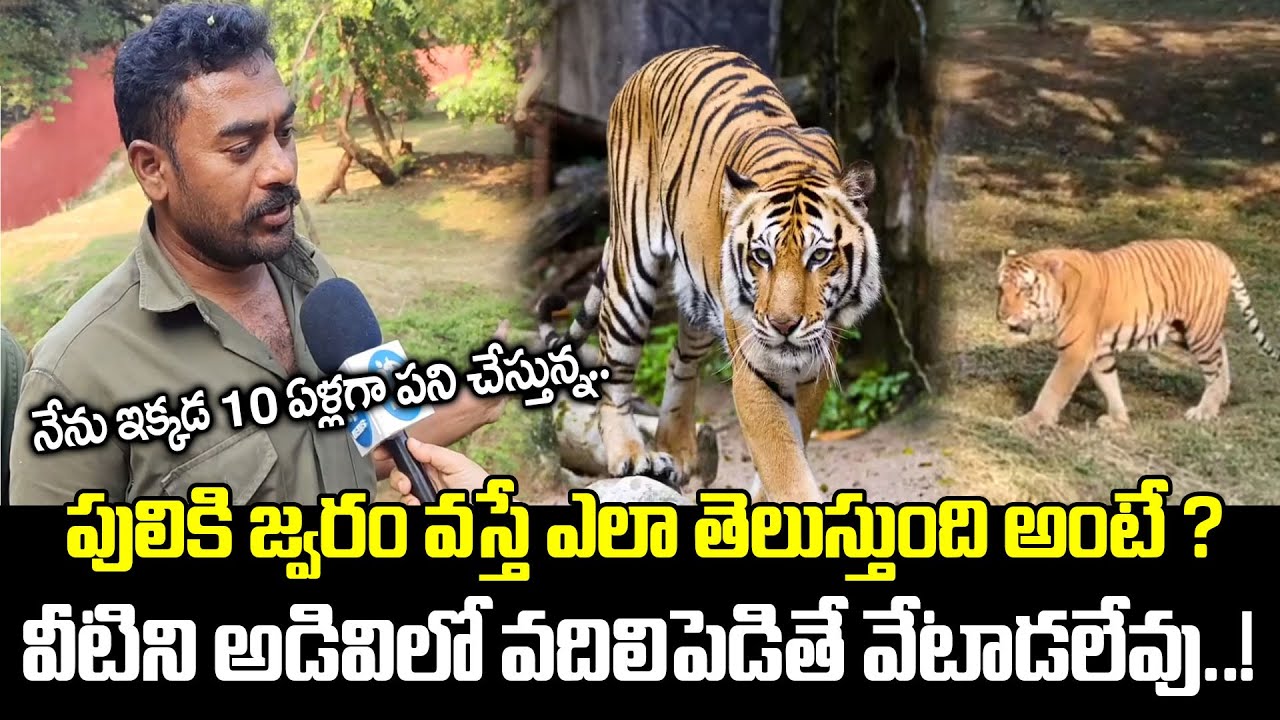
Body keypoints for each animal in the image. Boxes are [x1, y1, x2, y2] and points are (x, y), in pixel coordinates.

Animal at [537, 45, 883, 505]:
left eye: (820, 256)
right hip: (632, 270)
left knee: (678, 360)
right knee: (615, 377)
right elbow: (784, 462)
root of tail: (660, 59)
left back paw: (678, 450)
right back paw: (632, 456)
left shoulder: (815, 367)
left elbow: (789, 449)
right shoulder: (754, 370)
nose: (783, 325)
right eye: (761, 256)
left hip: (700, 297)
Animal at [996, 238, 1280, 432]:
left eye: (1024, 290)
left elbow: (1053, 389)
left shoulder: (1075, 351)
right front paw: (1119, 420)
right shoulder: (1099, 352)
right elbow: (1109, 384)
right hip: (1183, 330)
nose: (1002, 316)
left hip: (1199, 328)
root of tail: (1220, 252)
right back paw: (1221, 397)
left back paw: (1205, 410)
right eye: (1000, 289)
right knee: (1221, 350)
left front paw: (1029, 422)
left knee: (1213, 365)